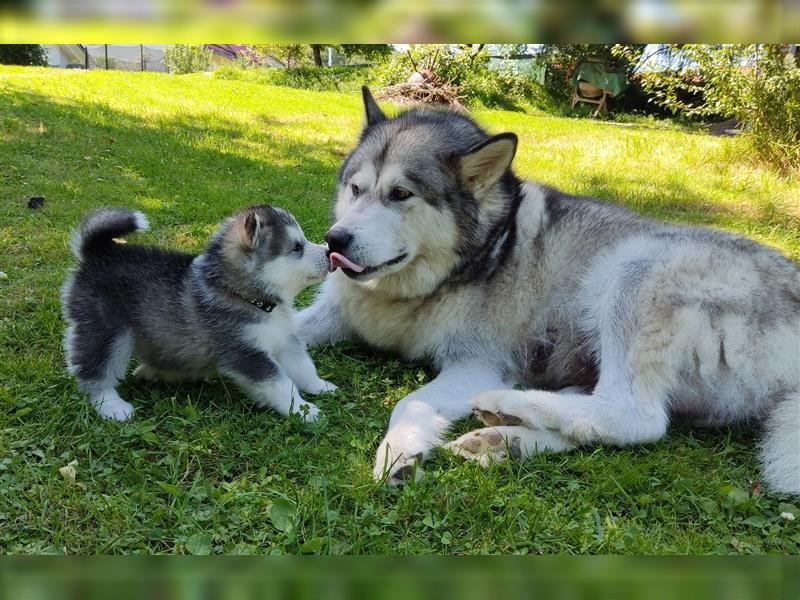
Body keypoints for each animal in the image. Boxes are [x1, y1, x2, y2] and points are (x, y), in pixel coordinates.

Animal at [302, 88, 800, 492]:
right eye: (355, 188)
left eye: (401, 194)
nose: (334, 241)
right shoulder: (334, 311)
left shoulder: (478, 364)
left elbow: (411, 401)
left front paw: (399, 452)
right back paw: (504, 437)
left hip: (634, 267)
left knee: (637, 418)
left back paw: (506, 405)